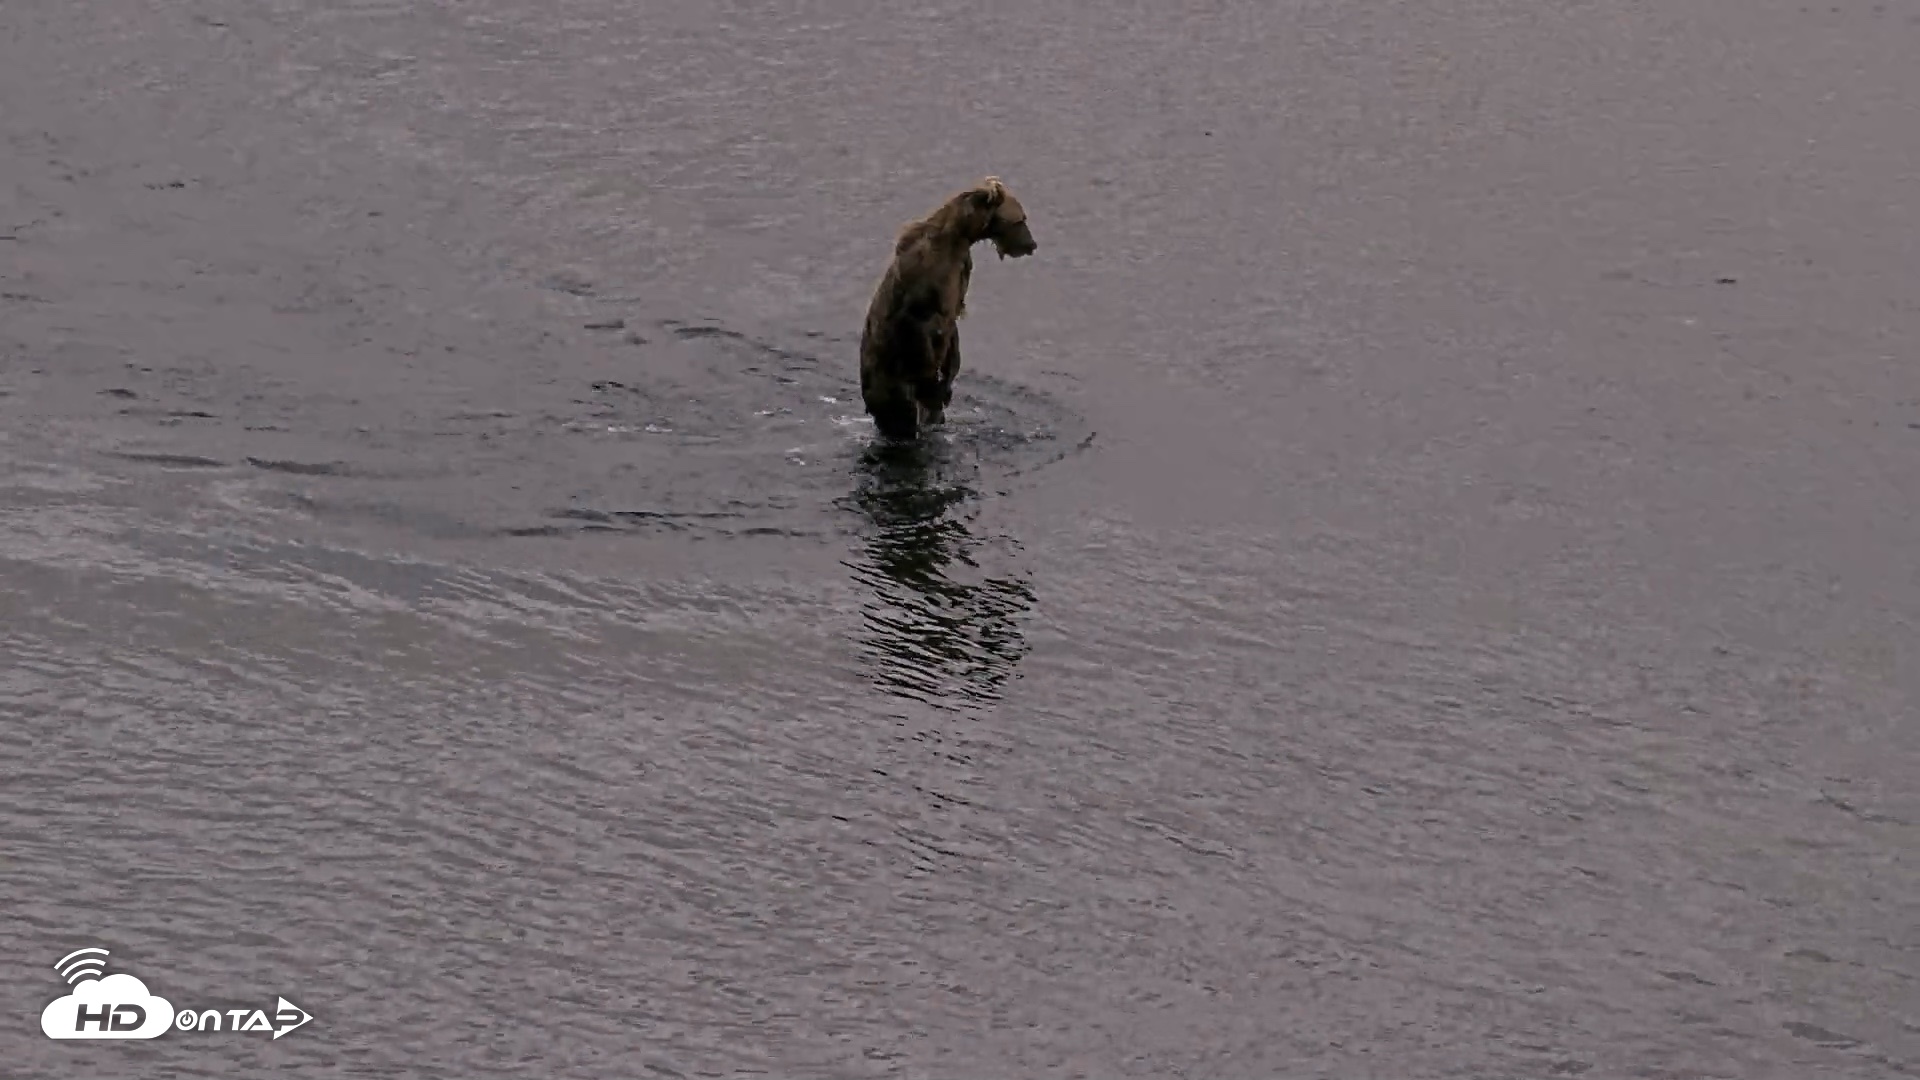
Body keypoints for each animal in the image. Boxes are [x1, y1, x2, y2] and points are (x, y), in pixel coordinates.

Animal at [858, 176, 1037, 440]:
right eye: (1020, 219)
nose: (1032, 244)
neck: (960, 237)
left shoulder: (959, 279)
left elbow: (952, 332)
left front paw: (949, 377)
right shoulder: (925, 288)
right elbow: (922, 322)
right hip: (889, 383)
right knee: (902, 413)